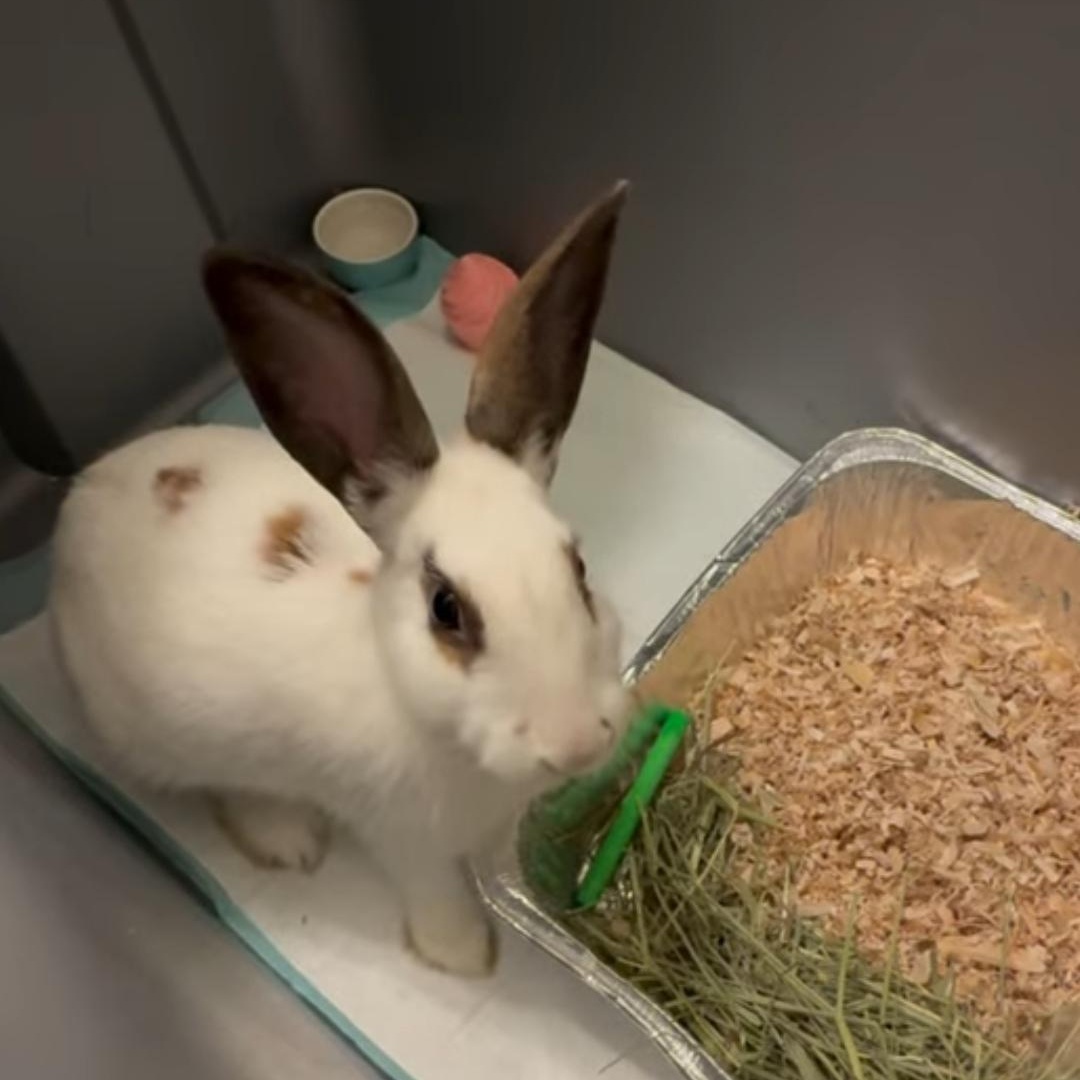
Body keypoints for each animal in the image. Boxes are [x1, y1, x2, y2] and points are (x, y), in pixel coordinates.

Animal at [48, 183, 631, 977]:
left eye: (577, 567)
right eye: (446, 609)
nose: (575, 744)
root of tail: (74, 501)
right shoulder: (401, 835)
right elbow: (434, 894)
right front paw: (465, 956)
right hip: (168, 736)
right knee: (219, 787)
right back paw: (286, 840)